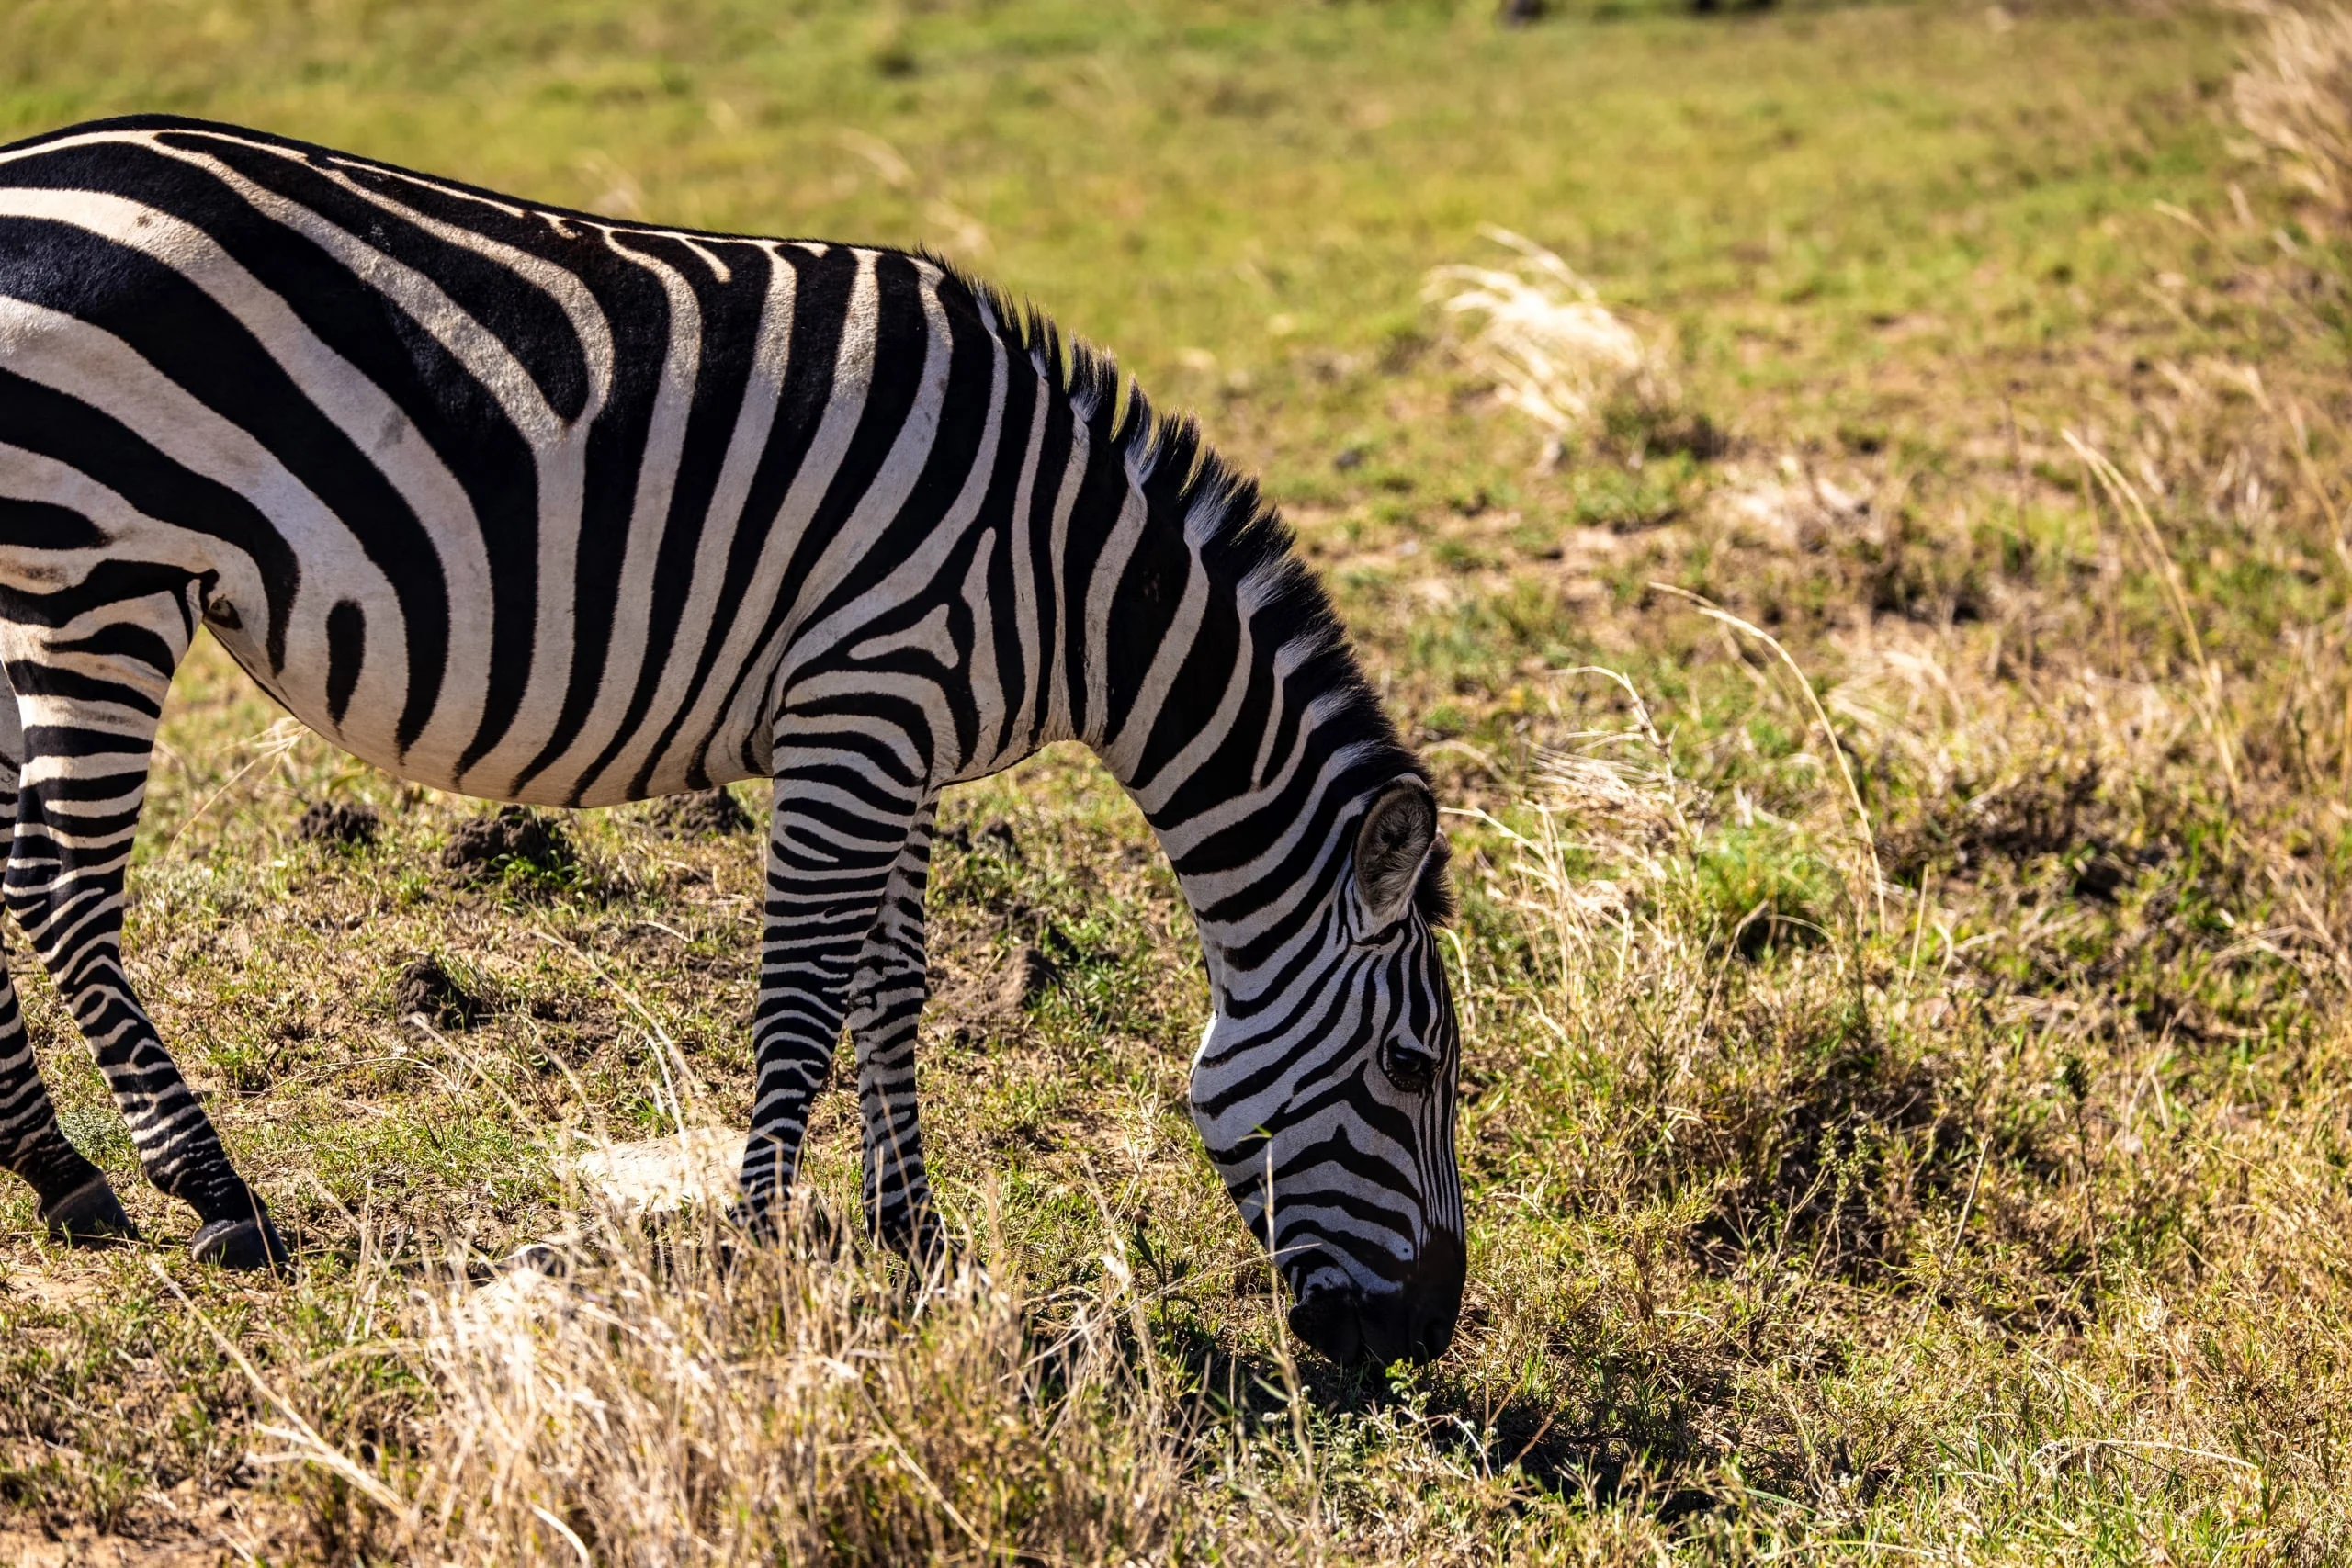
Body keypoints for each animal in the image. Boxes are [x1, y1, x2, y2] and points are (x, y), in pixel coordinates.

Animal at [0, 113, 1467, 1363]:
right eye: (1412, 1067)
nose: (1424, 1335)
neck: (1070, 575)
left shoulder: (901, 730)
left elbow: (893, 982)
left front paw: (913, 1234)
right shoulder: (864, 699)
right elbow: (805, 991)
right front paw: (758, 1237)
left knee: (16, 883)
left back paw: (61, 1171)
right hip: (100, 577)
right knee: (63, 893)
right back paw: (212, 1190)